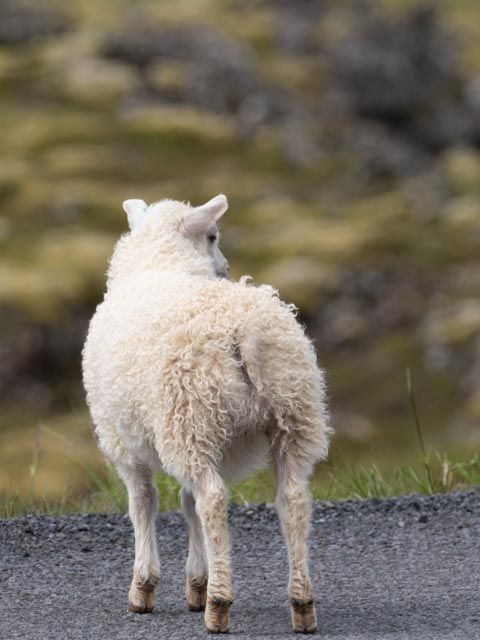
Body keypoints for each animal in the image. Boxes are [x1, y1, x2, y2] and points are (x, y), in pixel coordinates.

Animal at [82, 194, 330, 634]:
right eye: (213, 237)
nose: (226, 268)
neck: (161, 263)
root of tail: (243, 329)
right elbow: (185, 502)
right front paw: (196, 582)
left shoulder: (123, 441)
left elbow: (143, 503)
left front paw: (146, 586)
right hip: (290, 415)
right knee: (293, 500)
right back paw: (301, 603)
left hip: (191, 416)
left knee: (212, 500)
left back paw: (219, 605)